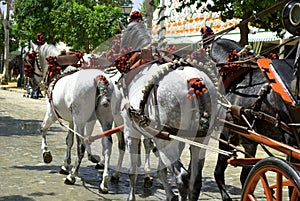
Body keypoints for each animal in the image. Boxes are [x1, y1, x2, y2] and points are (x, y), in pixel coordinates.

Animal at [26, 41, 115, 193]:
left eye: (29, 61)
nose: (30, 84)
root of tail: (98, 79)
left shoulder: (52, 113)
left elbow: (42, 129)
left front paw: (46, 154)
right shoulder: (71, 121)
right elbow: (69, 140)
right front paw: (65, 165)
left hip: (80, 121)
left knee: (82, 147)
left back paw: (72, 176)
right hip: (106, 120)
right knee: (107, 146)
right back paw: (104, 182)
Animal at [112, 21, 218, 200]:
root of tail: (194, 80)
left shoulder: (131, 132)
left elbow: (133, 171)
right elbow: (162, 170)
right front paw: (169, 194)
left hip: (167, 140)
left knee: (182, 177)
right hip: (200, 139)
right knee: (195, 181)